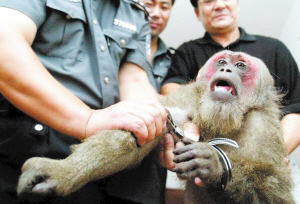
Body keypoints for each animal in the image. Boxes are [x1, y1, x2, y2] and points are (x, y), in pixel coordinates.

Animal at [15, 50, 292, 202]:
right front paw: (64, 172)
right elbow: (141, 131)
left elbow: (275, 192)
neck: (223, 120)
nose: (225, 70)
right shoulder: (187, 100)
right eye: (222, 62)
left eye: (240, 65)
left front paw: (213, 165)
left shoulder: (264, 126)